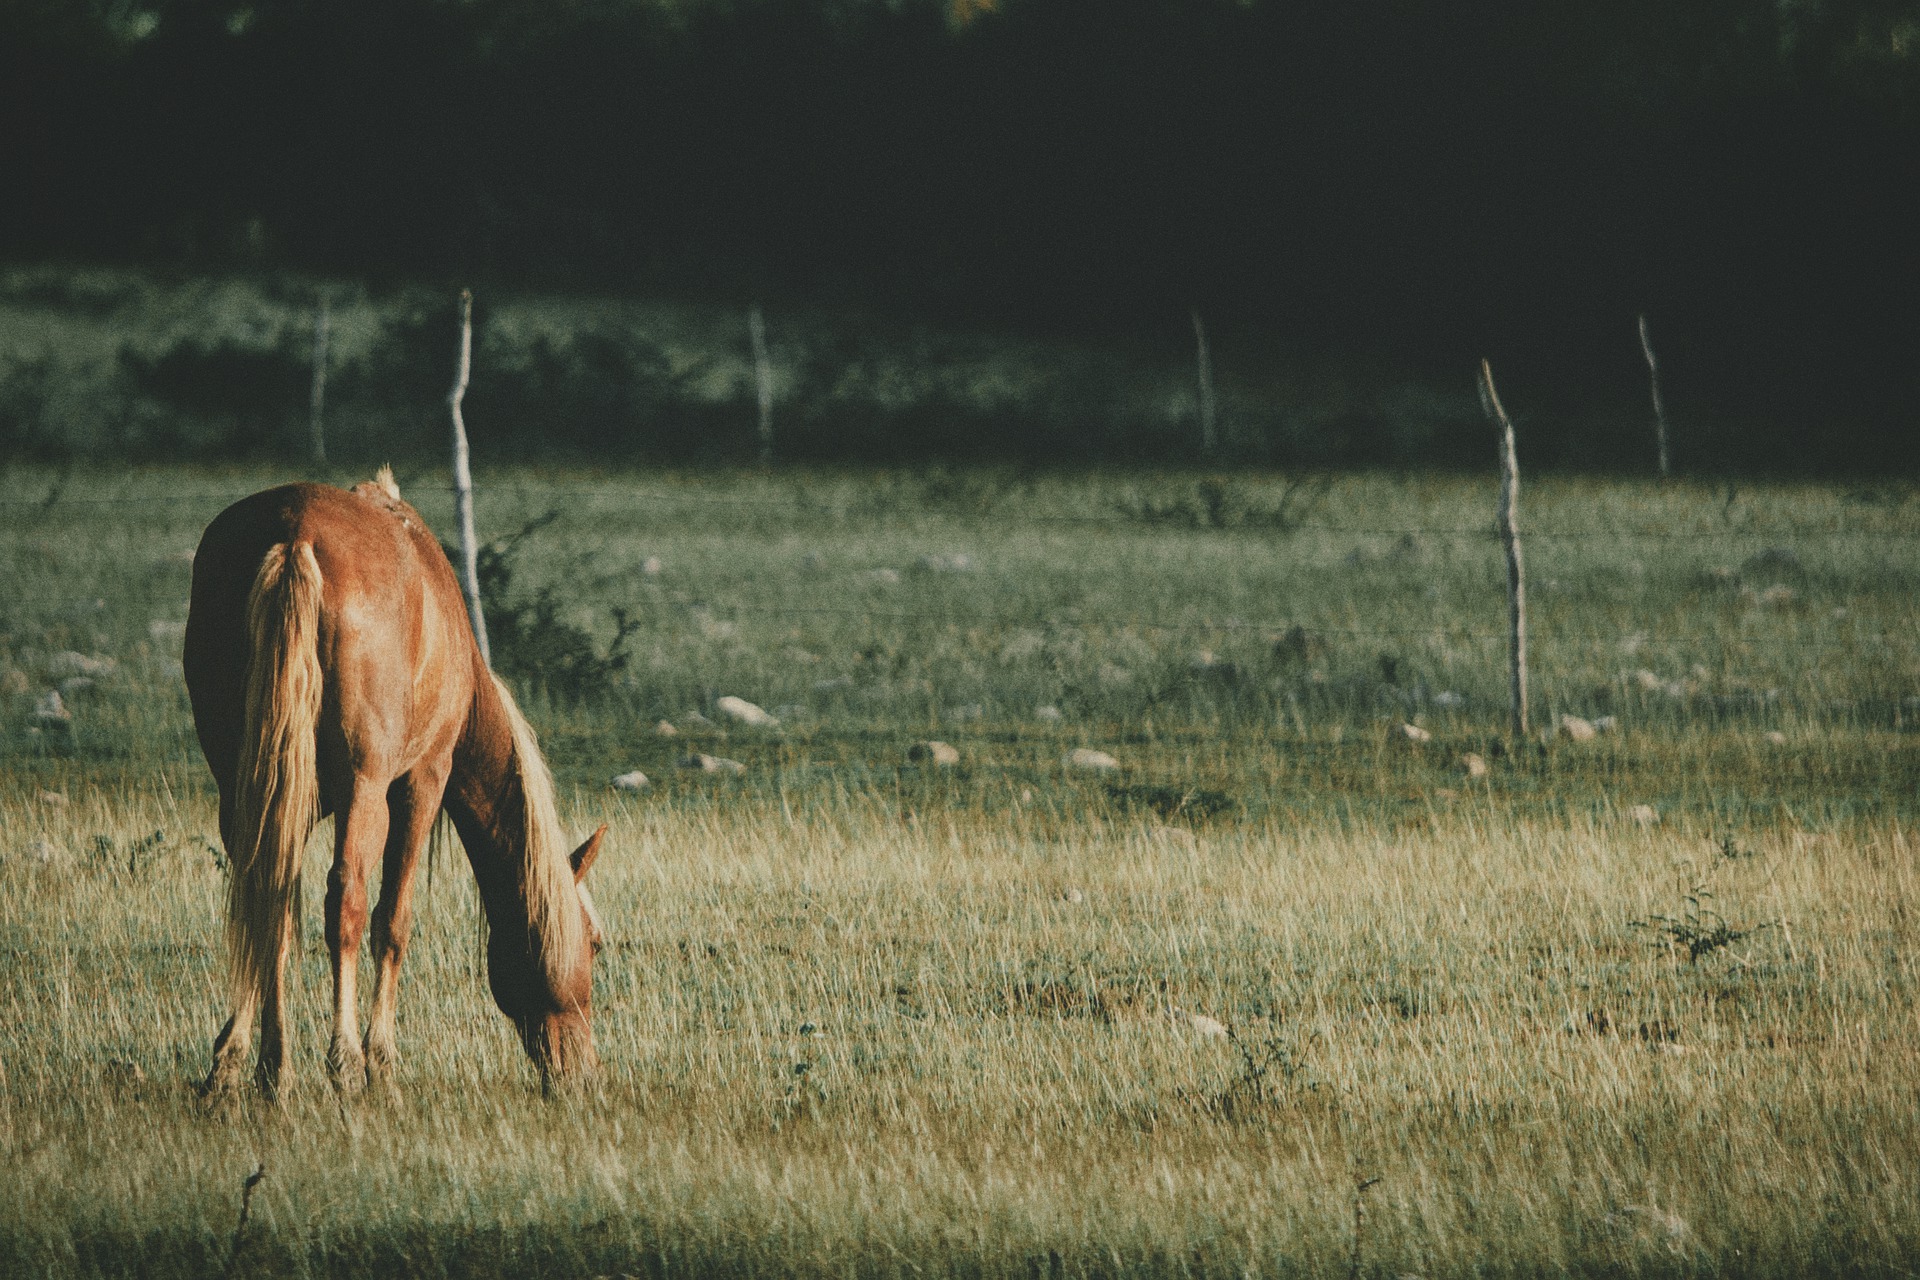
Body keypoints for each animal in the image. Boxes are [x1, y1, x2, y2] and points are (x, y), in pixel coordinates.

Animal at [183, 469, 607, 1094]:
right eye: (596, 943)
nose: (583, 1073)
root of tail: (293, 536)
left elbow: (277, 915)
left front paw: (252, 1059)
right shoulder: (421, 783)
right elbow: (393, 920)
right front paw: (379, 1056)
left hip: (244, 788)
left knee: (264, 900)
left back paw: (260, 1067)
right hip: (365, 792)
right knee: (346, 904)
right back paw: (345, 1062)